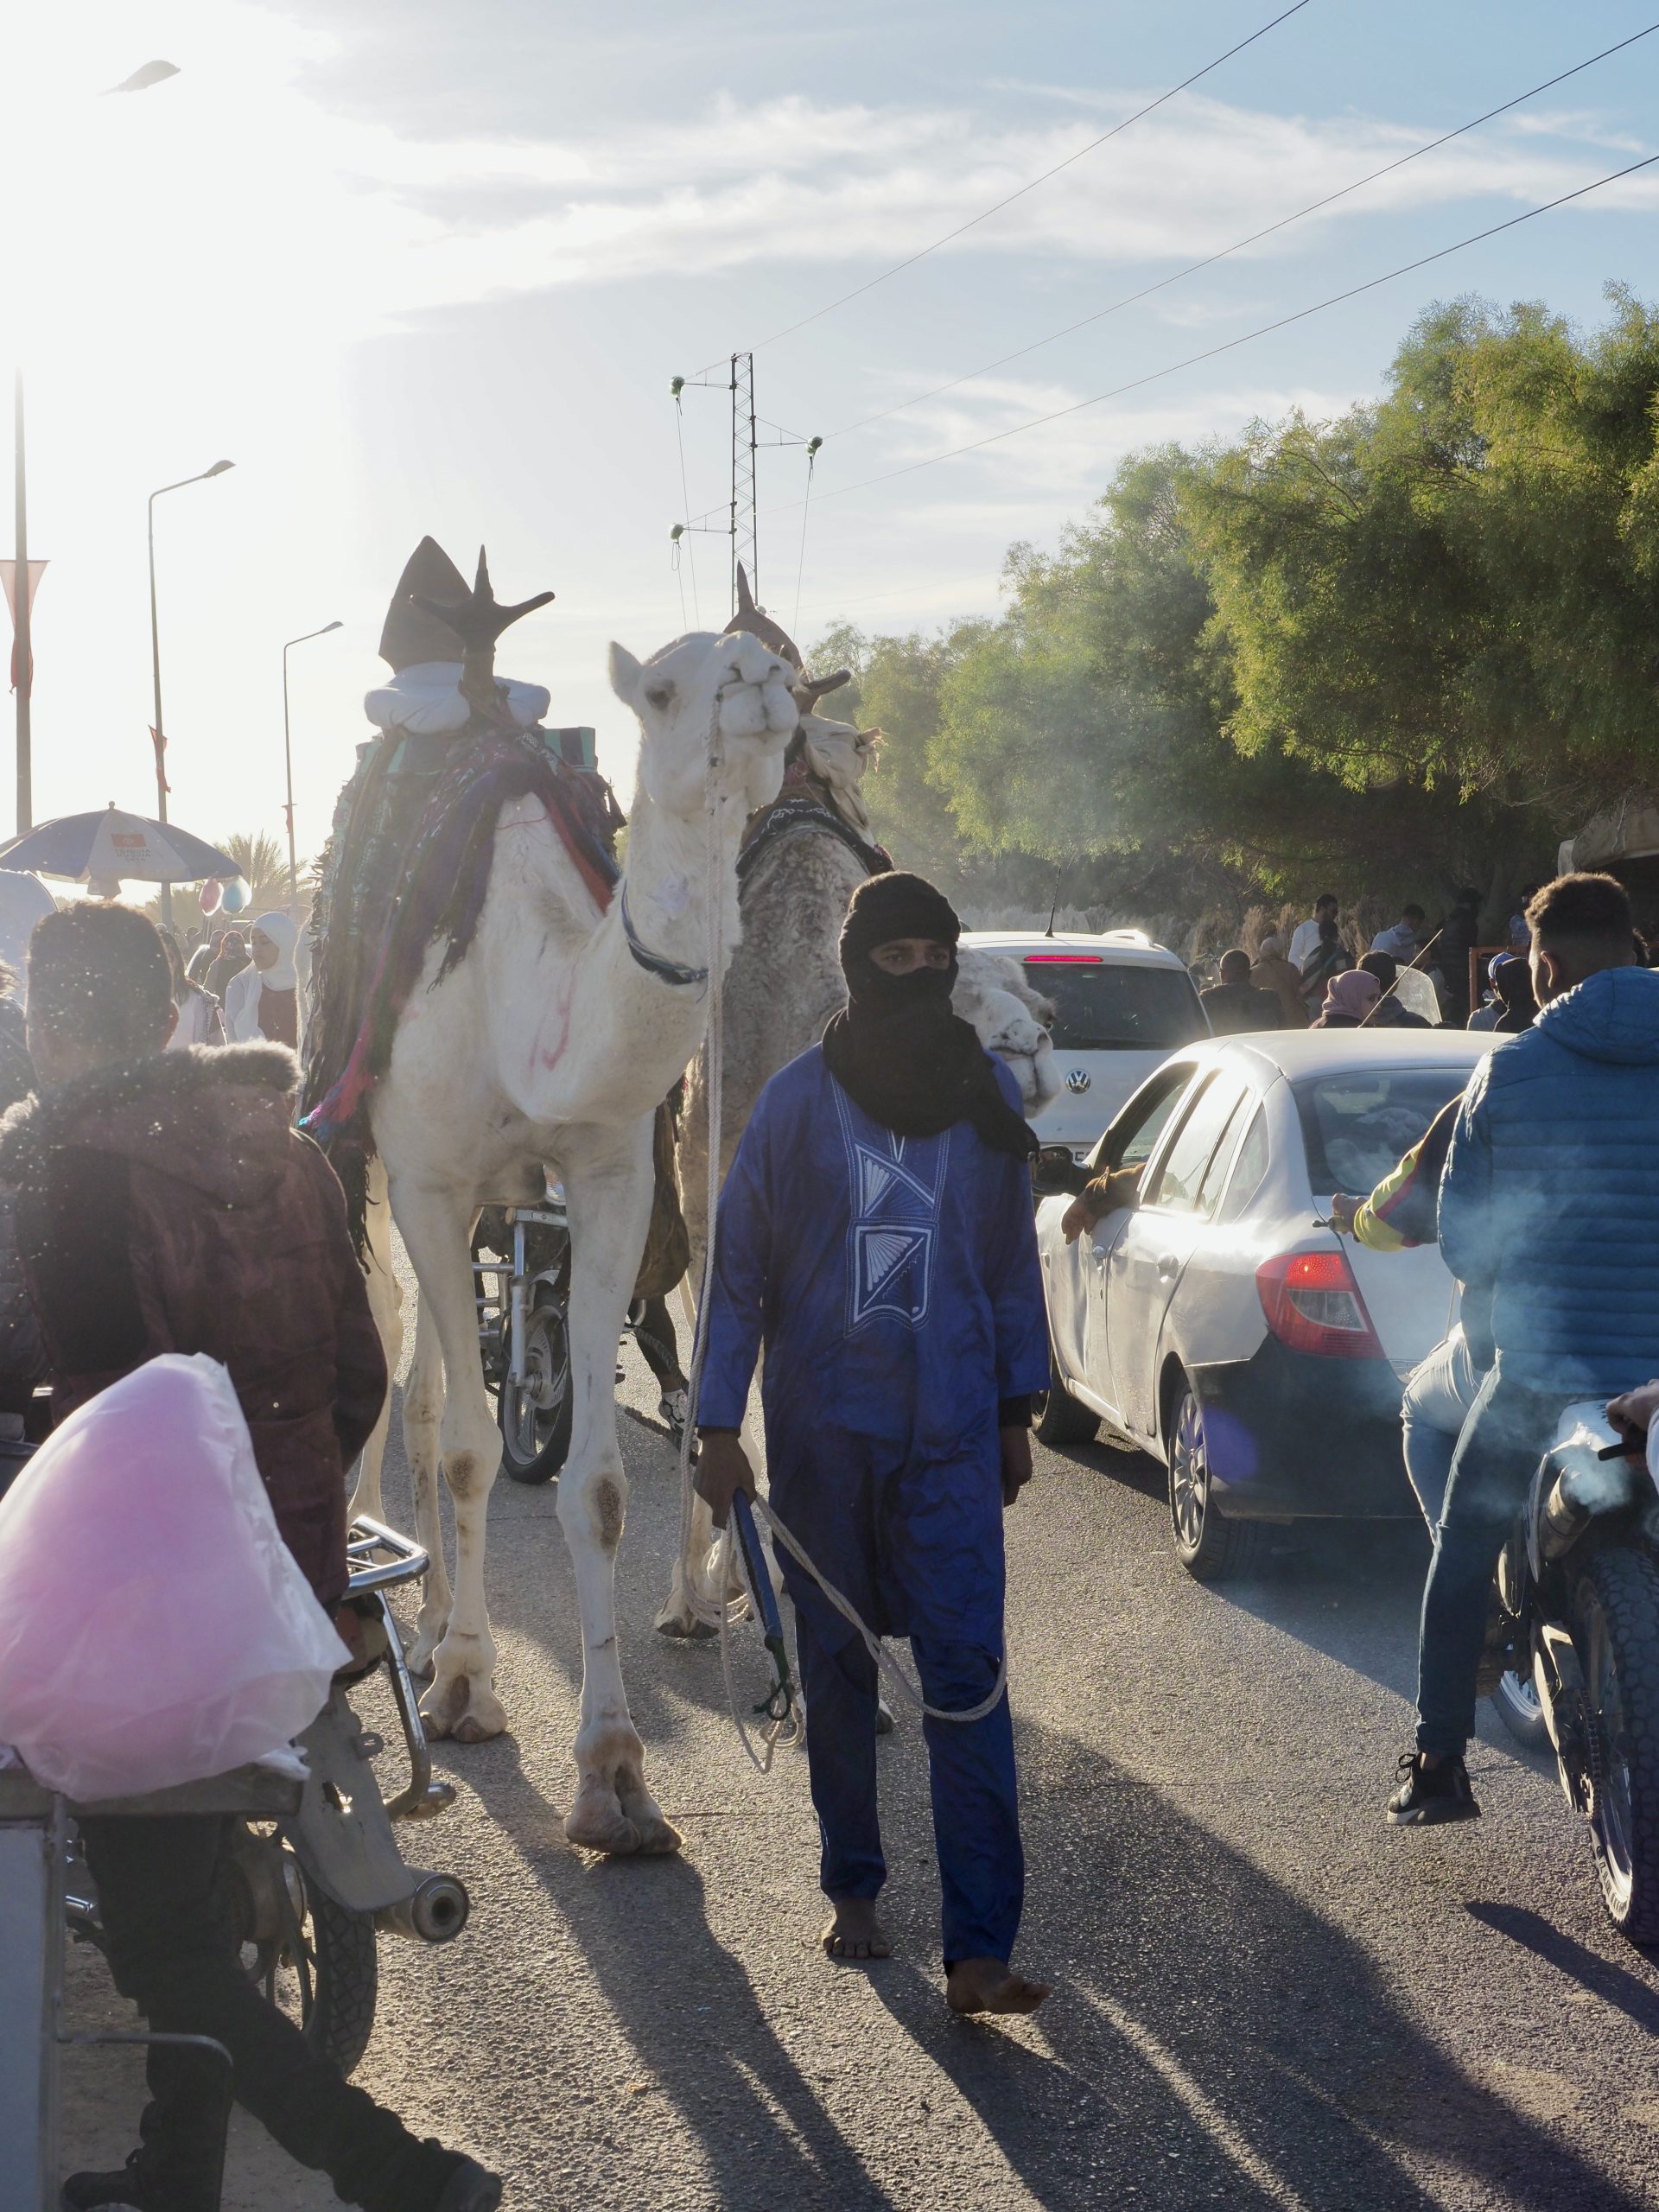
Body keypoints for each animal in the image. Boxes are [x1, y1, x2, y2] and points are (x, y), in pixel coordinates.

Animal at [345, 575, 800, 1849]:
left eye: (787, 672)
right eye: (665, 686)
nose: (758, 682)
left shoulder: (610, 1183)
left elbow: (594, 1484)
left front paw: (616, 1777)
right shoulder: (434, 1179)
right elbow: (465, 1447)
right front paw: (464, 1690)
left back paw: (433, 1616)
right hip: (381, 1185)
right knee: (407, 1373)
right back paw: (415, 1615)